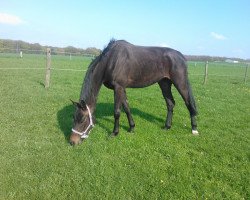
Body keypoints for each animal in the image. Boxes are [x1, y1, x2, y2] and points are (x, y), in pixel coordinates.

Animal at [69, 39, 198, 145]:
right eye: (73, 117)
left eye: (83, 119)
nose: (72, 141)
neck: (111, 60)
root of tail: (181, 56)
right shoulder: (122, 88)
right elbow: (126, 108)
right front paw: (131, 128)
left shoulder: (118, 87)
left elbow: (117, 112)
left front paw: (114, 132)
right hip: (164, 83)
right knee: (170, 103)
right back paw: (167, 126)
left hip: (180, 83)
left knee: (188, 103)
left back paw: (194, 129)